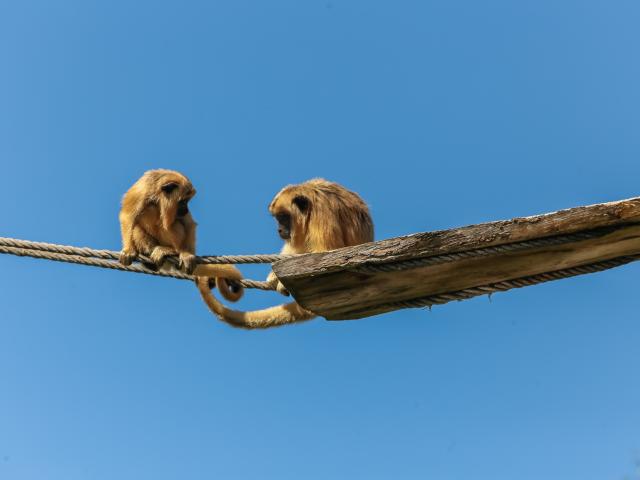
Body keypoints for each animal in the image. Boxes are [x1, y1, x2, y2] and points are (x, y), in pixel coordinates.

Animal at [117, 170, 242, 300]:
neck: (157, 193)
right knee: (144, 216)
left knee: (172, 222)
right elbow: (127, 215)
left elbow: (189, 224)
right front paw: (128, 250)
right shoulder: (141, 190)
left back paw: (172, 251)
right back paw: (150, 257)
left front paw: (186, 254)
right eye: (183, 201)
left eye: (187, 201)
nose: (186, 209)